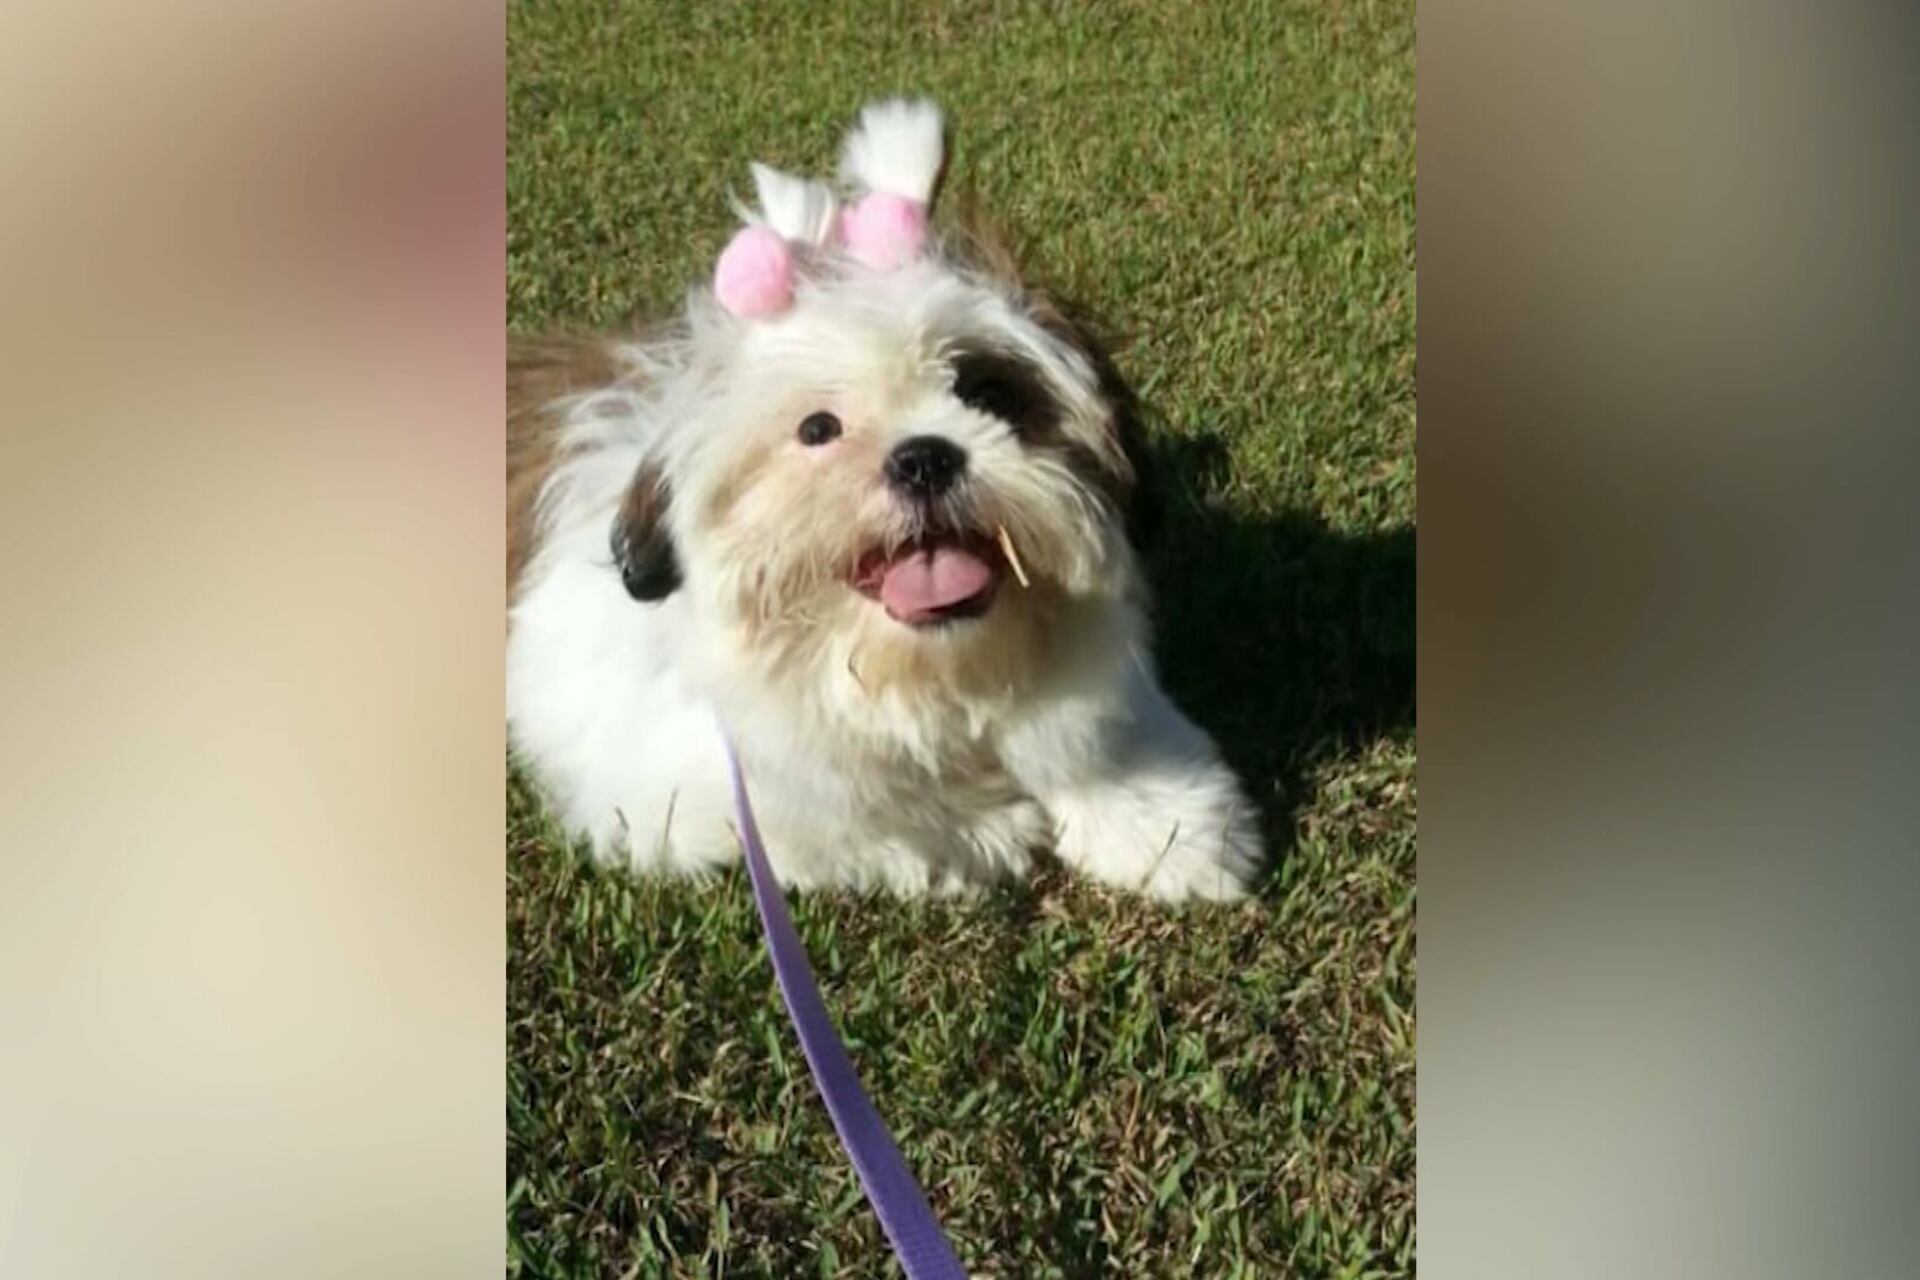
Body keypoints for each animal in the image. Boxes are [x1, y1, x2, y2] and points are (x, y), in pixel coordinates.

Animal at [507, 99, 1261, 900]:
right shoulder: (674, 789)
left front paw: (1165, 820)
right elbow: (826, 815)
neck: (922, 672)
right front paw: (979, 827)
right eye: (818, 429)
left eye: (989, 393)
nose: (924, 458)